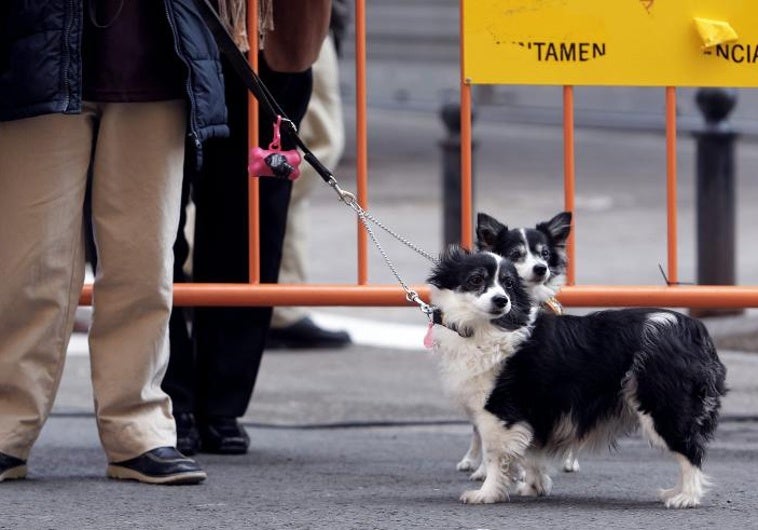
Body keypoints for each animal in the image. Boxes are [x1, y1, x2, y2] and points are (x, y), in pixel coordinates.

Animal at [428, 248, 732, 508]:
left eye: (509, 285)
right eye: (476, 279)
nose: (502, 300)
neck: (492, 327)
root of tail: (692, 328)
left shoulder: (499, 412)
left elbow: (495, 457)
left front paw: (487, 494)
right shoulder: (537, 410)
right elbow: (531, 452)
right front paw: (535, 487)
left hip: (663, 404)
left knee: (690, 450)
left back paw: (686, 497)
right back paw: (676, 492)